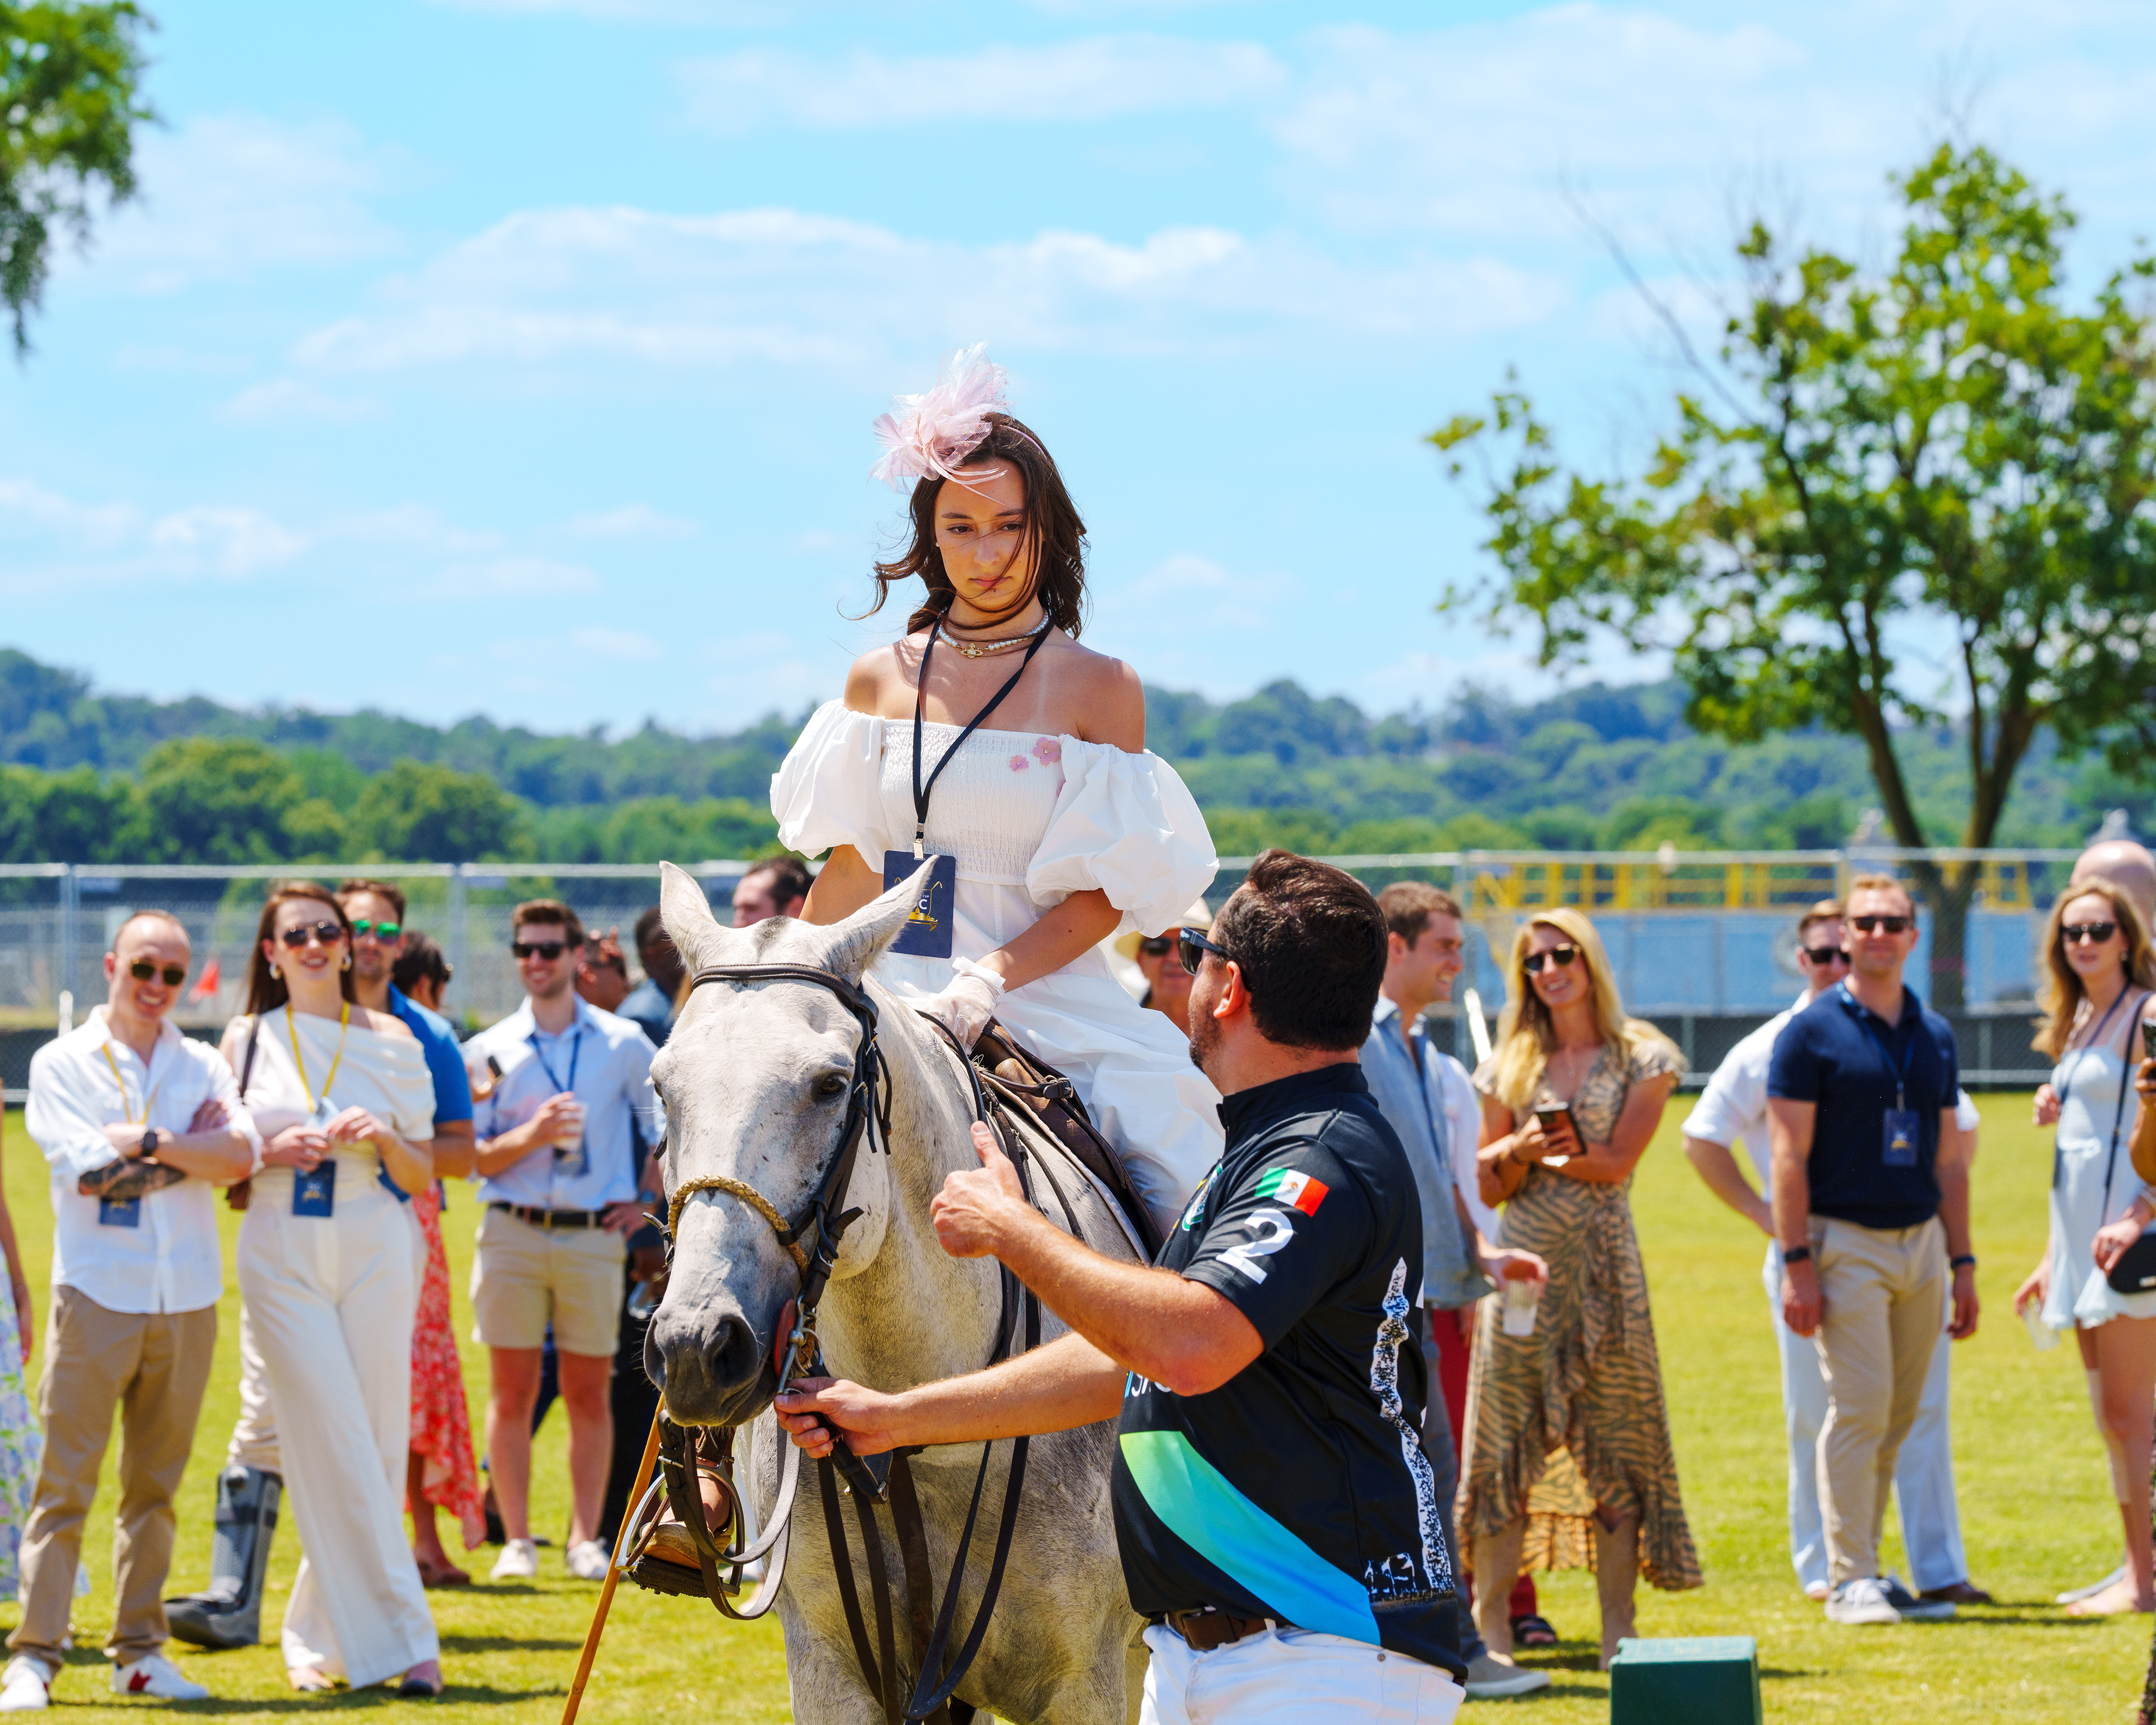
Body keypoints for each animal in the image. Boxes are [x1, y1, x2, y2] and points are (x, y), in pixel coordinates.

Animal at [642, 863, 1138, 1725]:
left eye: (829, 1084)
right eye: (662, 1088)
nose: (697, 1349)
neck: (931, 1415)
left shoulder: (1089, 1680)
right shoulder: (833, 1667)